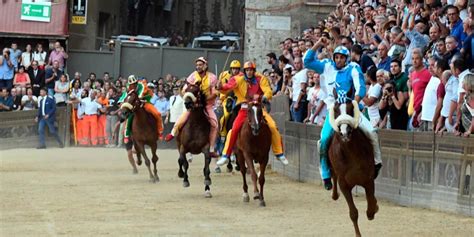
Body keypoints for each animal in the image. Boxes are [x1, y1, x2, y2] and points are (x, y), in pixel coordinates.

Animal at [328, 89, 380, 237]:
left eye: (351, 108)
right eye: (335, 109)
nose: (345, 133)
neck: (352, 154)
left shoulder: (368, 179)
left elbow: (370, 206)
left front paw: (374, 208)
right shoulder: (344, 184)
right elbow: (353, 213)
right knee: (333, 176)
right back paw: (333, 193)